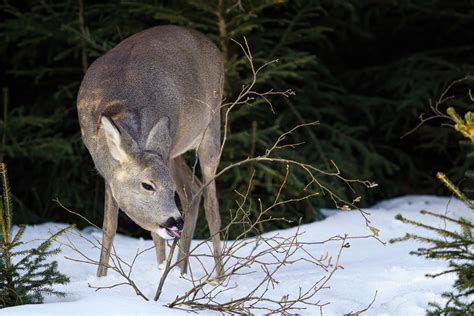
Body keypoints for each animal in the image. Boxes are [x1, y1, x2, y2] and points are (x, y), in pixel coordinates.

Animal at [77, 25, 225, 278]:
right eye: (147, 185)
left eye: (168, 188)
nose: (175, 221)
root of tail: (211, 45)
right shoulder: (108, 174)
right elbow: (109, 226)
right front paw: (100, 278)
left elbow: (154, 234)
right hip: (173, 151)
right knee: (192, 191)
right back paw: (180, 271)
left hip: (211, 126)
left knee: (212, 206)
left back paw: (218, 278)